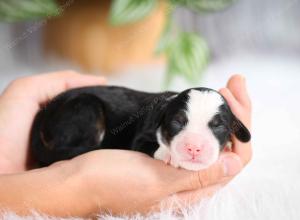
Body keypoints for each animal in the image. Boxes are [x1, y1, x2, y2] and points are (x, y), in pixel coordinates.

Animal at [30, 86, 251, 170]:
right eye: (176, 122)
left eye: (219, 126)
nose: (194, 148)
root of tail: (44, 111)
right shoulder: (141, 136)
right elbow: (148, 145)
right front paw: (168, 154)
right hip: (85, 108)